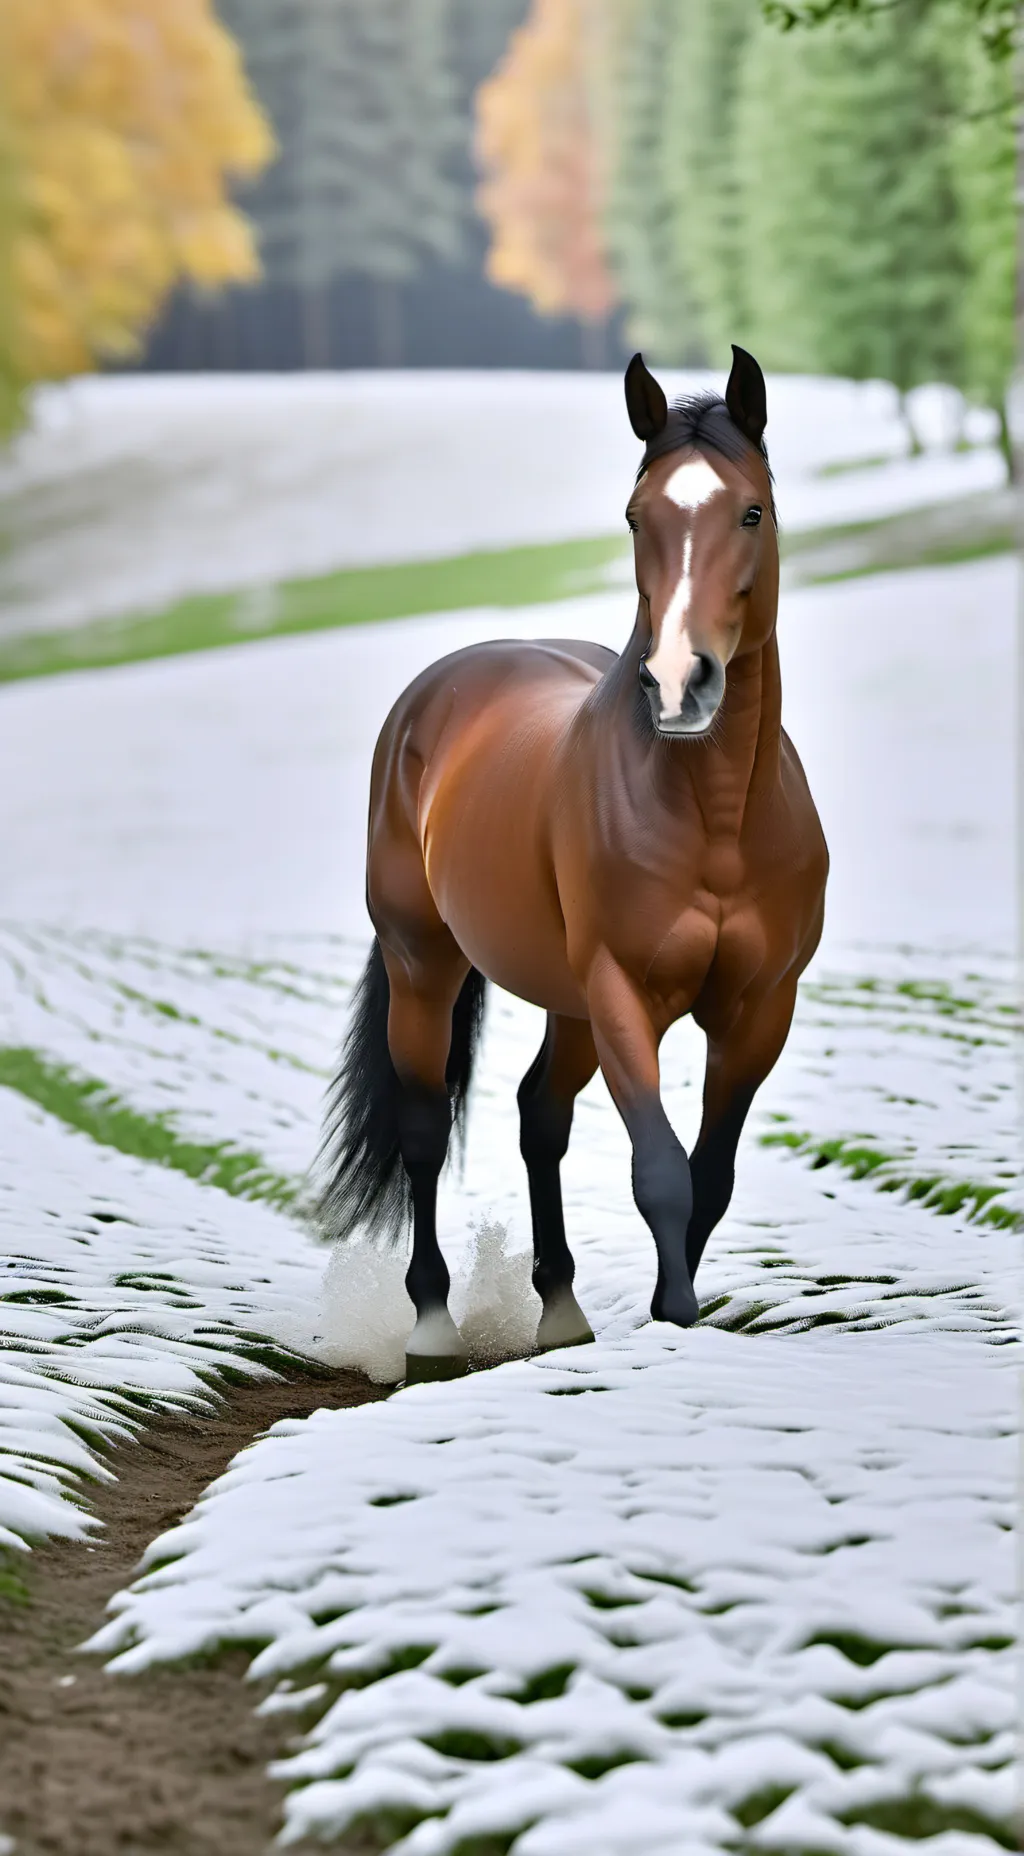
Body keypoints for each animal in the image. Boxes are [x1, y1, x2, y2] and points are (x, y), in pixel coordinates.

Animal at [320, 345, 828, 1381]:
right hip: (426, 965)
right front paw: (673, 1322)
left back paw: (558, 1310)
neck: (717, 817)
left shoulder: (761, 1009)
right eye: (638, 515)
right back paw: (432, 1325)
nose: (679, 684)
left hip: (566, 1003)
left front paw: (677, 1313)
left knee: (536, 1115)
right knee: (425, 1126)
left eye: (751, 512)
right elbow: (663, 1171)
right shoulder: (624, 992)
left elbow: (711, 1176)